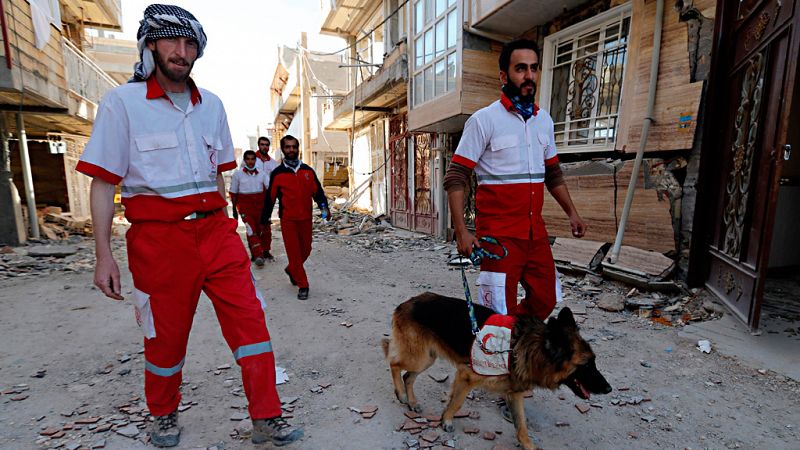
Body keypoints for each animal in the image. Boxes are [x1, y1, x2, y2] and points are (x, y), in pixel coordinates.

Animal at [382, 292, 612, 450]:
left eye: (594, 362)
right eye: (586, 365)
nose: (609, 389)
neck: (524, 347)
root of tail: (406, 303)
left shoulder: (514, 393)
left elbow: (522, 425)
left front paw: (528, 445)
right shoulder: (466, 375)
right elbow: (457, 402)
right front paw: (446, 420)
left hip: (426, 358)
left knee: (407, 375)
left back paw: (411, 401)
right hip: (419, 358)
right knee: (393, 362)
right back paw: (401, 394)